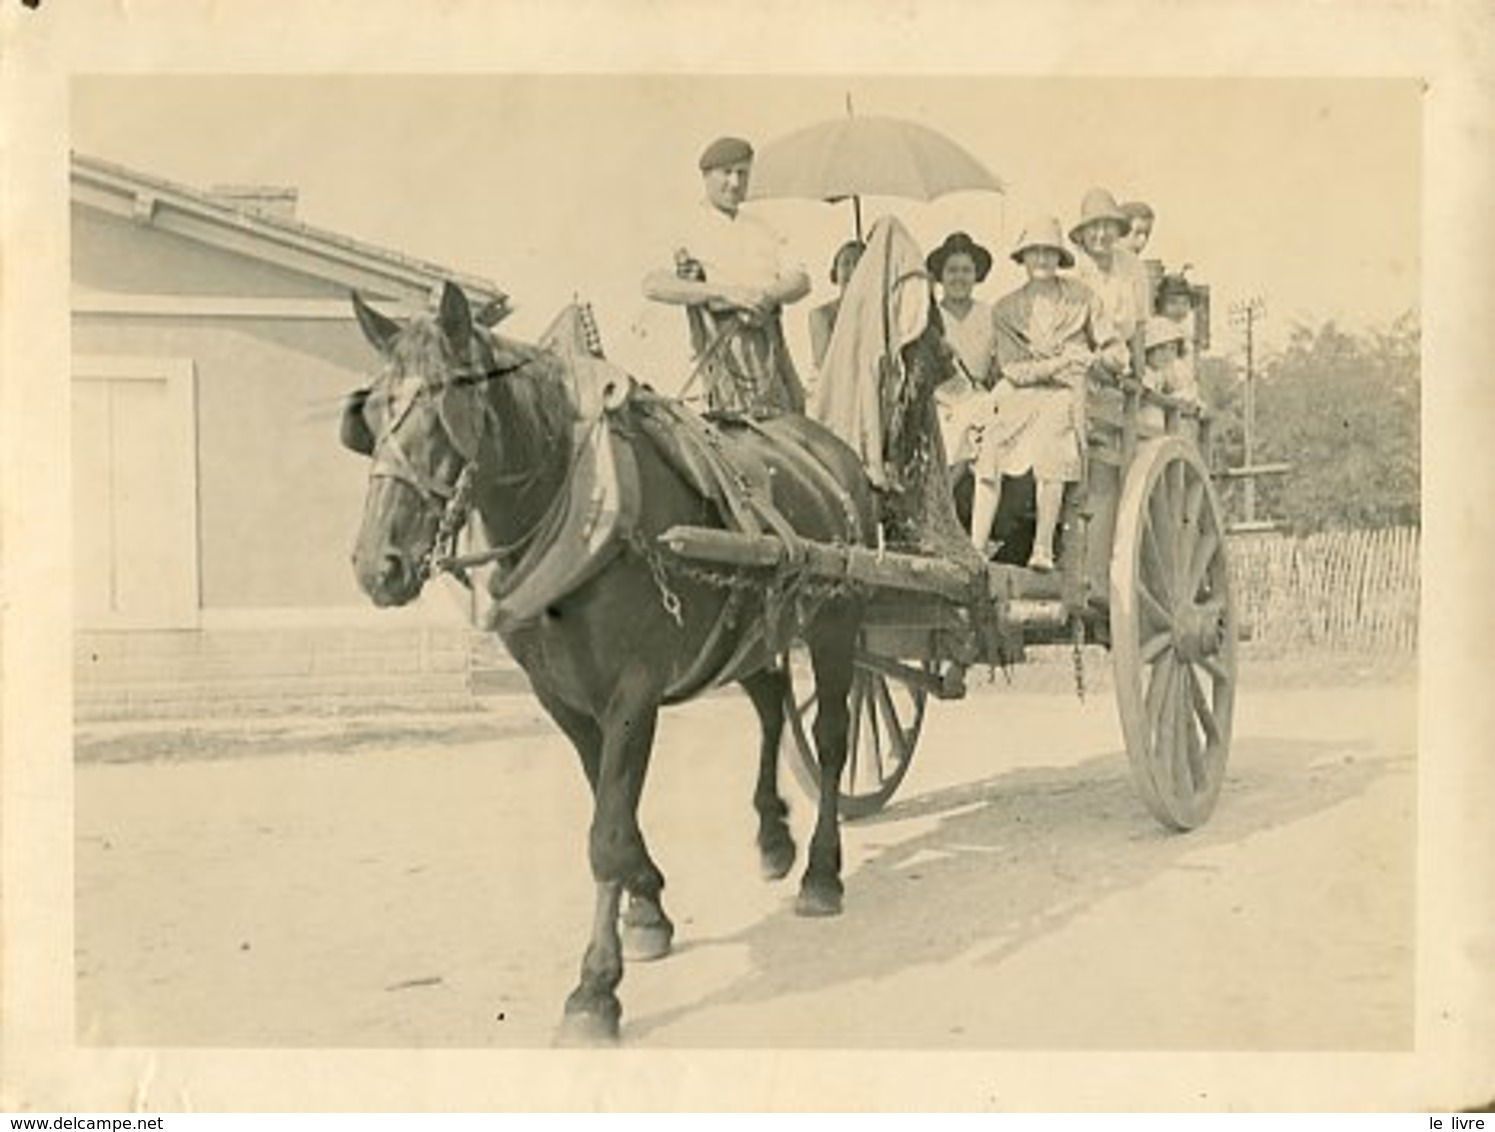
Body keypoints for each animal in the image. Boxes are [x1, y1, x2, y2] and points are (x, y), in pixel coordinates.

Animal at [342, 281, 944, 1040]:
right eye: (369, 416)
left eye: (445, 407)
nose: (377, 566)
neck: (581, 508)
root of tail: (833, 451)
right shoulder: (563, 701)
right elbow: (613, 811)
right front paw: (647, 907)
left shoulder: (633, 692)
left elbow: (605, 829)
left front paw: (596, 987)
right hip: (750, 627)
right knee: (772, 705)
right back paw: (772, 835)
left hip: (838, 620)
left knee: (832, 737)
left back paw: (820, 872)